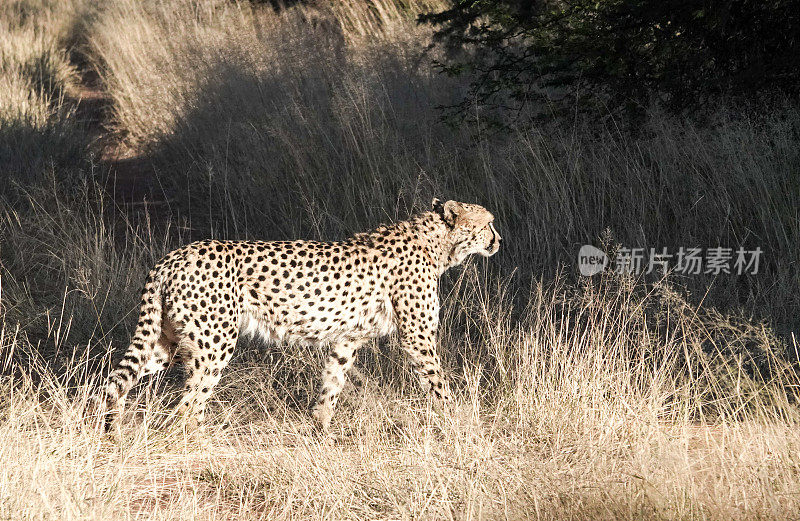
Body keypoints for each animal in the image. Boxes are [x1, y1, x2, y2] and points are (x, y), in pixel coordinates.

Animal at [92, 199, 500, 430]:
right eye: (488, 223)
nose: (499, 239)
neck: (438, 245)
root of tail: (174, 255)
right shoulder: (417, 338)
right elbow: (439, 384)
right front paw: (461, 423)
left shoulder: (346, 339)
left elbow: (332, 383)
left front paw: (320, 429)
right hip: (213, 345)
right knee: (188, 406)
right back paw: (195, 442)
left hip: (170, 340)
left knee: (115, 381)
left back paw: (112, 431)